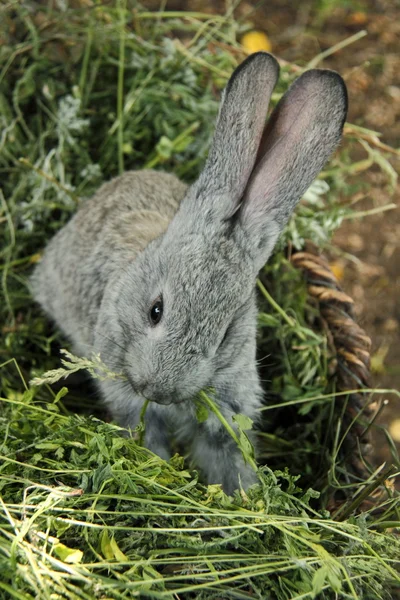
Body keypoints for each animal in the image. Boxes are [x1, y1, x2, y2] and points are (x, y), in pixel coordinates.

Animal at [31, 52, 346, 492]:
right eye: (155, 310)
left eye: (226, 334)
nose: (159, 390)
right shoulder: (129, 401)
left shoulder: (226, 415)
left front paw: (244, 496)